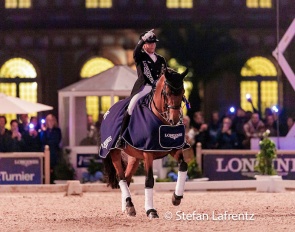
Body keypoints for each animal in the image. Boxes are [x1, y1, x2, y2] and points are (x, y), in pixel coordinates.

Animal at [100, 68, 190, 218]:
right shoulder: (148, 153)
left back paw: (127, 206)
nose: (174, 120)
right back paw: (129, 205)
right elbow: (149, 180)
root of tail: (108, 112)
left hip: (134, 157)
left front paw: (176, 198)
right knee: (121, 177)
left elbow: (183, 166)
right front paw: (151, 210)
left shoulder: (174, 148)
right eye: (167, 93)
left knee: (127, 178)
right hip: (113, 152)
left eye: (182, 92)